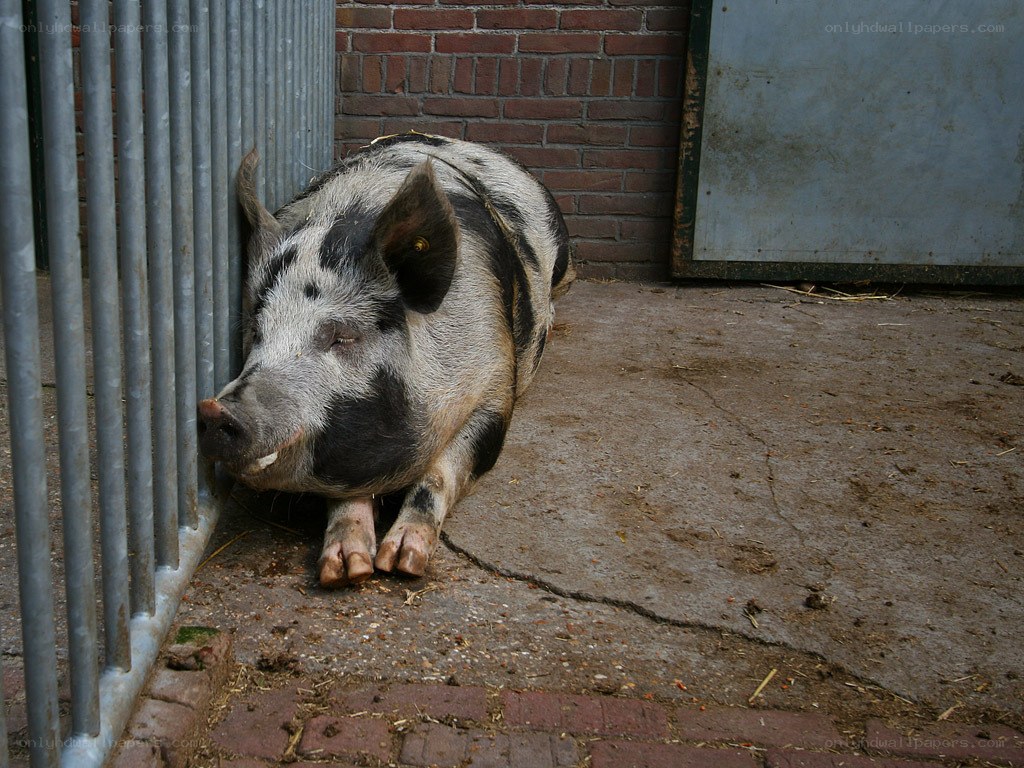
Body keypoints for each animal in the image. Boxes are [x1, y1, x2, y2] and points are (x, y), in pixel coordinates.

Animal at [198, 133, 574, 587]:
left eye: (342, 336)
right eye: (257, 330)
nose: (216, 410)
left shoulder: (497, 382)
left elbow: (441, 472)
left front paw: (402, 563)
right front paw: (347, 570)